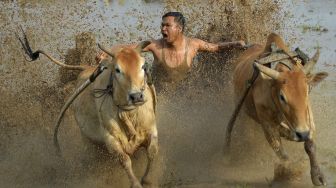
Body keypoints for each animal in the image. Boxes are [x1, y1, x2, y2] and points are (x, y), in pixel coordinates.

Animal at [18, 30, 159, 187]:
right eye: (117, 69)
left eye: (142, 66)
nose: (136, 96)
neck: (130, 112)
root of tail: (86, 68)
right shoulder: (111, 140)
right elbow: (124, 160)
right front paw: (136, 183)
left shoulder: (152, 129)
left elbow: (152, 152)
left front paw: (147, 180)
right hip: (88, 141)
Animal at [226, 33, 328, 186]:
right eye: (282, 97)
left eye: (307, 91)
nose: (302, 134)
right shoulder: (268, 126)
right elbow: (283, 155)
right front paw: (287, 175)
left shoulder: (308, 119)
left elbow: (310, 146)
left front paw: (318, 176)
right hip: (242, 111)